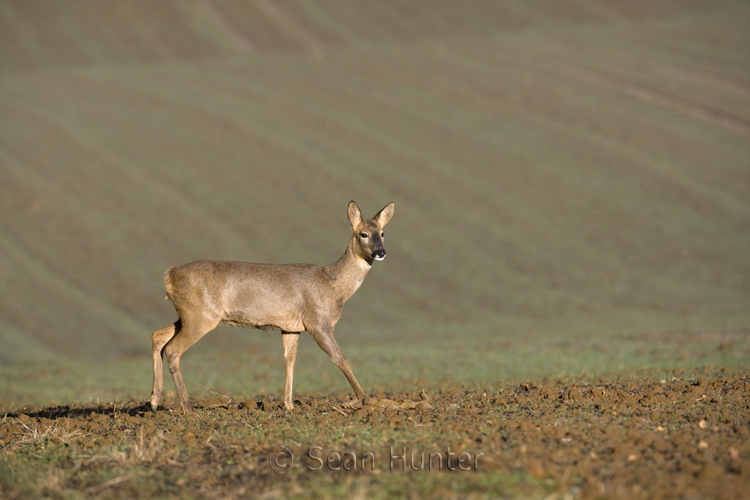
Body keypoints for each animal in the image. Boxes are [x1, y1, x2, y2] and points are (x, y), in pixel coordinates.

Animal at [150, 201, 396, 412]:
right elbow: (340, 358)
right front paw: (366, 400)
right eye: (363, 234)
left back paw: (154, 401)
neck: (333, 285)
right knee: (172, 349)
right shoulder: (318, 321)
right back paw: (186, 407)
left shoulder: (291, 327)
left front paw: (288, 405)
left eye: (383, 233)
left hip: (189, 315)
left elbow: (290, 360)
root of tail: (170, 275)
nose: (380, 252)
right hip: (201, 316)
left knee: (158, 335)